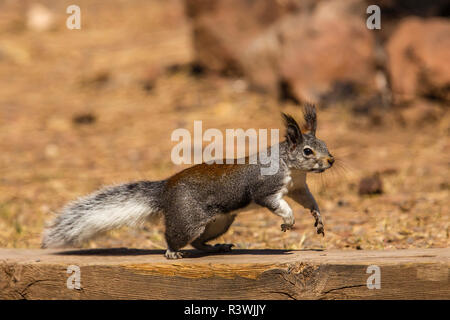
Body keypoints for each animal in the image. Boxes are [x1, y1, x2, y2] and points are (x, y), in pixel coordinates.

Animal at [41, 104, 334, 258]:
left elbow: (309, 201)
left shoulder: (298, 186)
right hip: (188, 220)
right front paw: (289, 219)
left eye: (325, 144)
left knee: (198, 241)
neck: (291, 168)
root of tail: (165, 190)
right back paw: (172, 251)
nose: (331, 160)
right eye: (307, 151)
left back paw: (217, 246)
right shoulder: (266, 187)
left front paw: (318, 218)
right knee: (176, 236)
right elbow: (277, 203)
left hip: (219, 222)